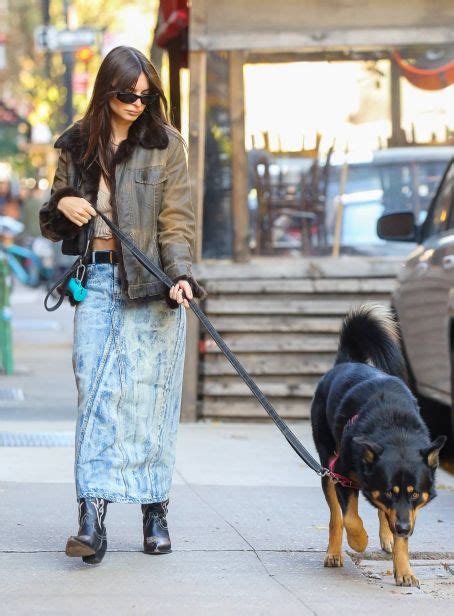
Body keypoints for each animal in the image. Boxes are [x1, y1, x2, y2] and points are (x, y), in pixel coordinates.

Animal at [310, 304, 446, 588]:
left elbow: (396, 528)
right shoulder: (341, 475)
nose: (403, 529)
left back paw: (388, 537)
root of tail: (348, 361)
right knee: (336, 517)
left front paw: (403, 569)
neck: (395, 430)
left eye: (415, 494)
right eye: (388, 492)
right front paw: (359, 540)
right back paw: (334, 552)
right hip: (327, 467)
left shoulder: (408, 511)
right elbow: (350, 517)